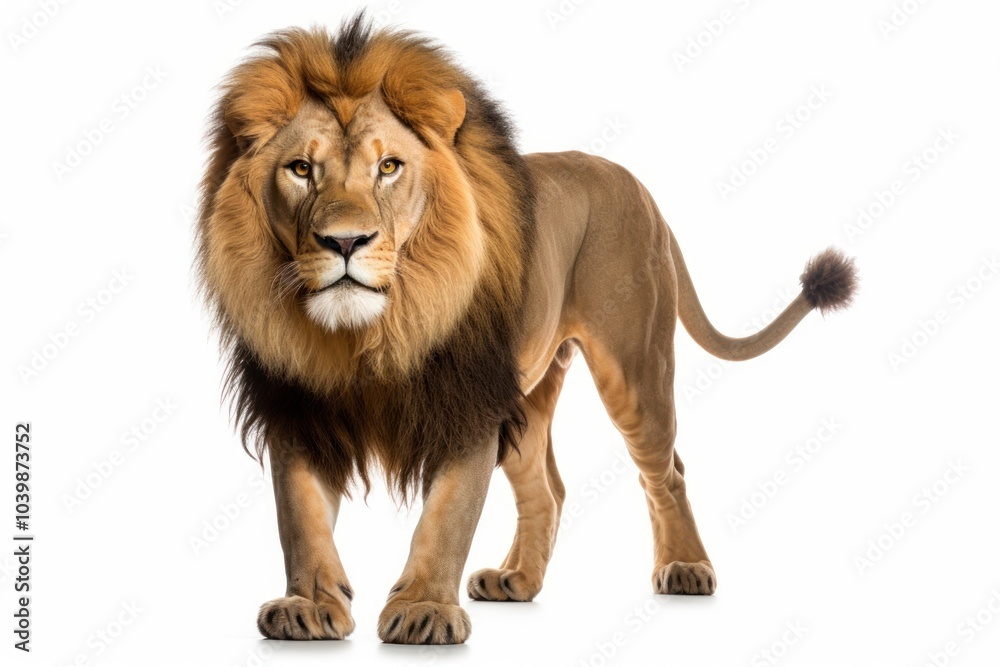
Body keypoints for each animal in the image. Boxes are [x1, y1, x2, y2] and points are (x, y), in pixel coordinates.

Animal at [196, 15, 857, 645]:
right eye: (300, 169)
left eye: (388, 167)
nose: (344, 241)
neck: (375, 333)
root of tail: (639, 188)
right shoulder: (295, 405)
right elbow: (301, 521)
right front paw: (309, 607)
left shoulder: (469, 405)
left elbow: (447, 516)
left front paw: (425, 611)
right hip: (528, 398)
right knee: (548, 488)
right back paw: (517, 579)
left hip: (634, 370)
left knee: (668, 470)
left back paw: (687, 568)